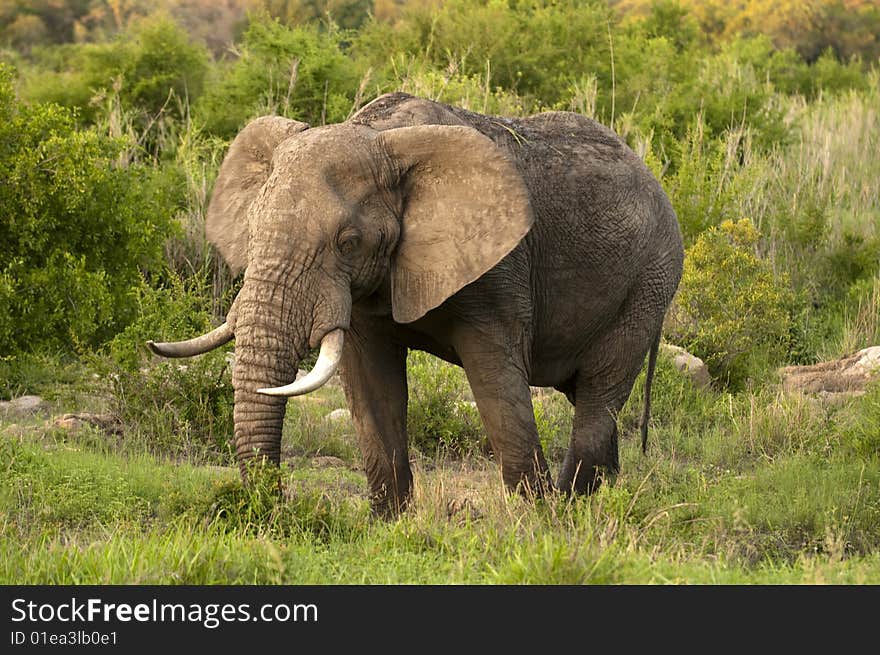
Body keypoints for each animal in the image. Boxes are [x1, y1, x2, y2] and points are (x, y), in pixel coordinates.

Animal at [148, 92, 684, 516]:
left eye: (348, 242)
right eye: (253, 228)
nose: (279, 504)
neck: (379, 136)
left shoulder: (498, 273)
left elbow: (497, 387)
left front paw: (535, 524)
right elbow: (372, 389)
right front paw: (388, 525)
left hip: (649, 282)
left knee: (598, 394)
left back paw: (575, 510)